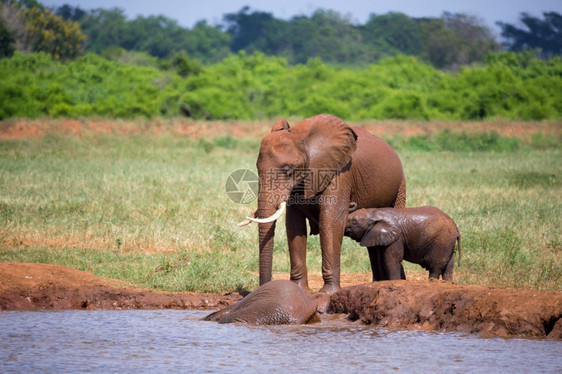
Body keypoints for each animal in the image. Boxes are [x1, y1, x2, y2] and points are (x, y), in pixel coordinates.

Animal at [236, 112, 402, 294]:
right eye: (257, 168)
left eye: (287, 170)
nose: (263, 288)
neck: (302, 138)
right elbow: (294, 224)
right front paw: (299, 289)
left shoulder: (340, 173)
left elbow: (330, 222)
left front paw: (328, 292)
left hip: (400, 186)